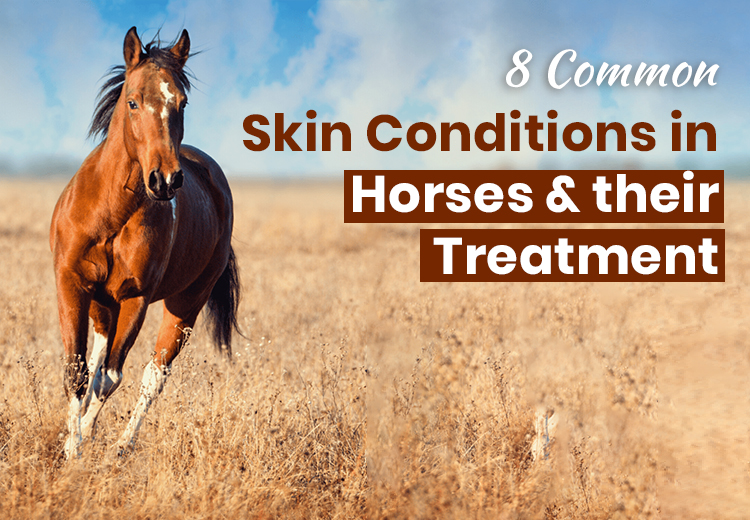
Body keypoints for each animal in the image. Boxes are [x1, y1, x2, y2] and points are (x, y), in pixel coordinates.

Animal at [50, 27, 240, 459]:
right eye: (133, 101)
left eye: (182, 102)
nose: (165, 180)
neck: (109, 214)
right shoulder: (72, 284)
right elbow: (78, 371)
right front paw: (71, 445)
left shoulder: (135, 298)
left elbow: (111, 378)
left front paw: (79, 447)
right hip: (102, 305)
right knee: (97, 362)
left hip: (184, 305)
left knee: (154, 375)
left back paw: (121, 447)